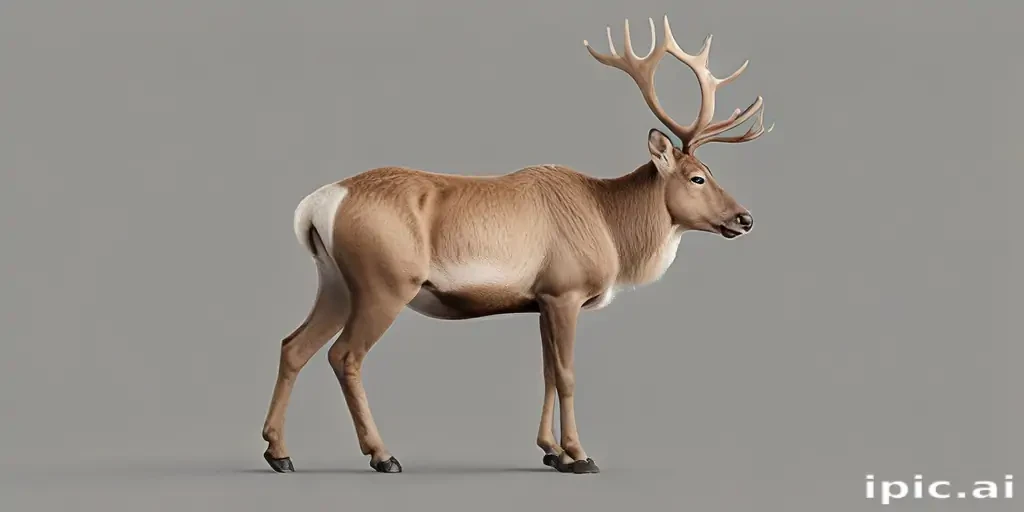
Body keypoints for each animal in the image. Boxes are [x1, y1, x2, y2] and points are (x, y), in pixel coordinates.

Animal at [260, 15, 772, 475]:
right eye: (697, 176)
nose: (745, 218)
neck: (610, 224)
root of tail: (317, 204)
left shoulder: (541, 297)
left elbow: (546, 372)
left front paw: (551, 451)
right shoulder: (566, 291)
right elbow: (566, 374)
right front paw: (580, 456)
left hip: (334, 282)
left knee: (293, 345)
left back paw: (279, 453)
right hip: (383, 284)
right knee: (344, 355)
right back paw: (382, 455)